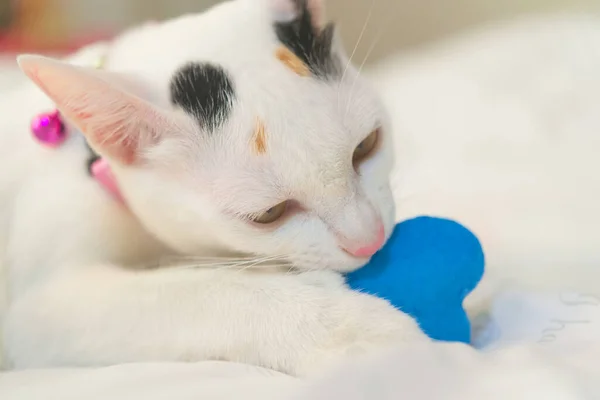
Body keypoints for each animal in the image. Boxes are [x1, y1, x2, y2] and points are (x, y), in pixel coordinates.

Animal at [0, 0, 424, 374]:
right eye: (269, 214)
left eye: (366, 146)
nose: (370, 241)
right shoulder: (35, 312)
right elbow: (192, 293)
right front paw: (353, 329)